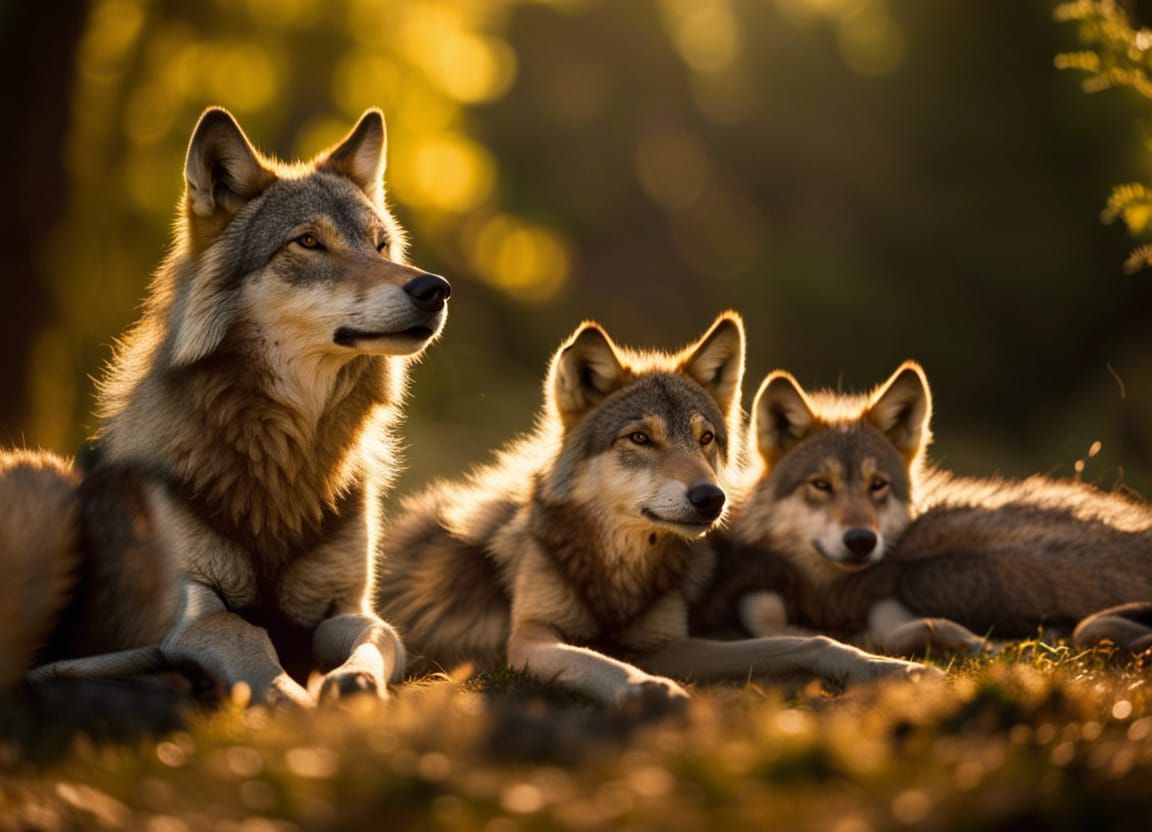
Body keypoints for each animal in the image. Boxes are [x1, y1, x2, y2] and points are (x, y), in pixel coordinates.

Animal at [34, 107, 450, 707]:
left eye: (381, 246)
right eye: (308, 242)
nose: (434, 289)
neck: (286, 454)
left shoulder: (349, 608)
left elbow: (377, 639)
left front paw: (352, 684)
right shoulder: (195, 613)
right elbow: (246, 632)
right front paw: (290, 699)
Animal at [377, 315, 929, 709]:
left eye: (706, 439)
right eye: (640, 438)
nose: (711, 498)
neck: (623, 568)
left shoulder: (667, 645)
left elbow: (809, 642)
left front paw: (888, 667)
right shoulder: (530, 639)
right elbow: (593, 661)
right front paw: (645, 689)